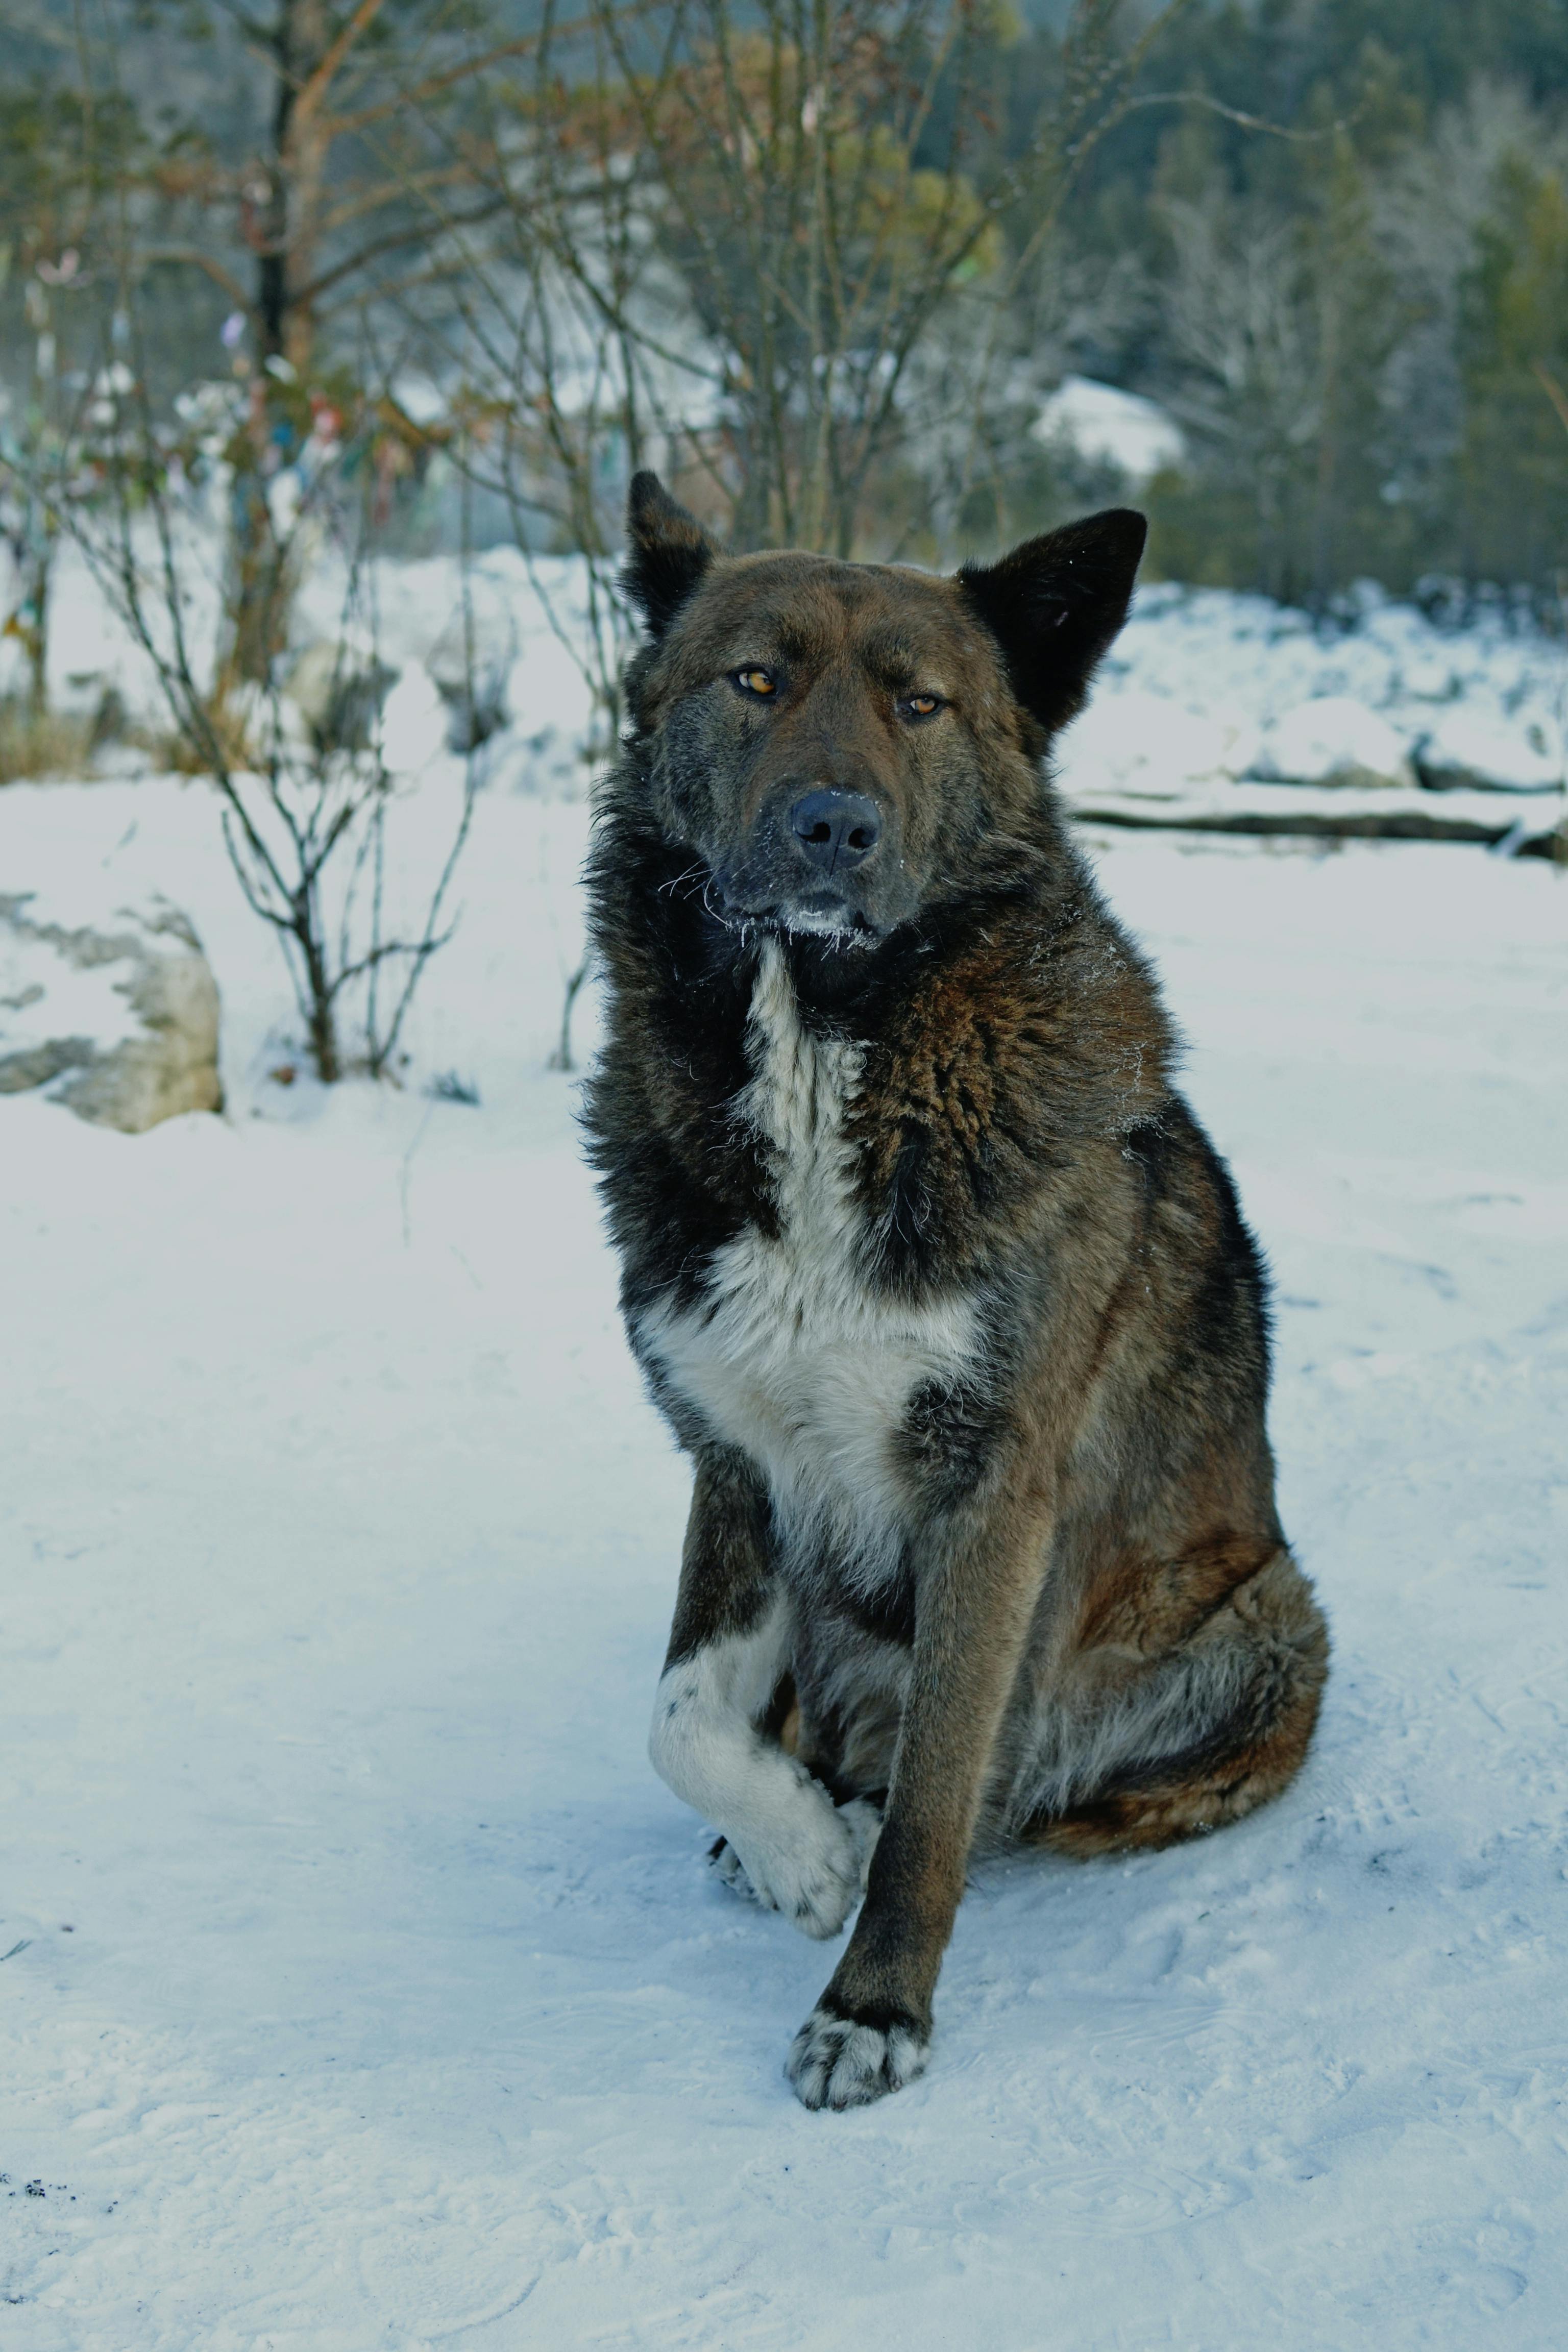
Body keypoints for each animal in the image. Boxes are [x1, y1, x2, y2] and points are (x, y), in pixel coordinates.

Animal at [585, 473, 1326, 2117]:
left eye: (919, 704)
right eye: (755, 680)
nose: (833, 827)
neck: (824, 1046)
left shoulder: (992, 1489)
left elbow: (939, 1784)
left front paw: (872, 2002)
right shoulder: (737, 1454)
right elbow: (677, 1715)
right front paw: (796, 1850)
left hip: (1268, 1621)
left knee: (1031, 1786)